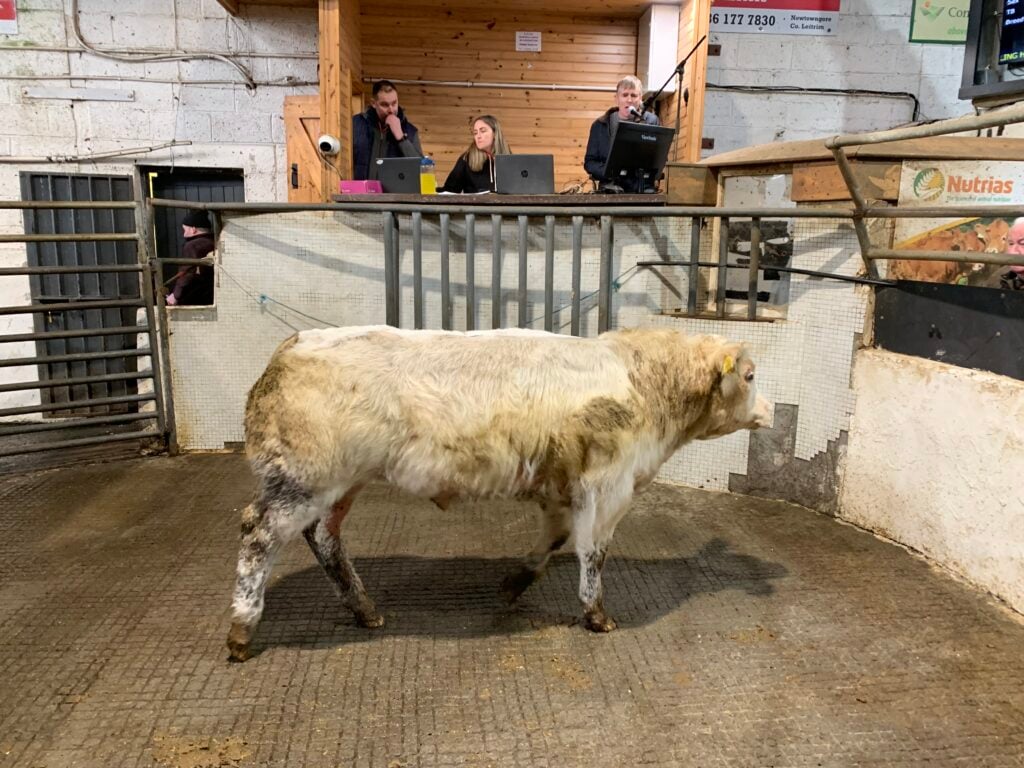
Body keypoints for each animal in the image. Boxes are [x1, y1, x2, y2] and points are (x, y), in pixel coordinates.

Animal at [226, 326, 772, 662]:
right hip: (302, 478)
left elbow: (554, 542)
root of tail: (293, 345)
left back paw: (365, 610)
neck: (645, 383)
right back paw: (242, 628)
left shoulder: (563, 488)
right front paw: (596, 615)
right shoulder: (607, 486)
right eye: (749, 375)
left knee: (325, 538)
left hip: (342, 481)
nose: (769, 410)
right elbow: (593, 552)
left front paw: (513, 584)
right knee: (258, 534)